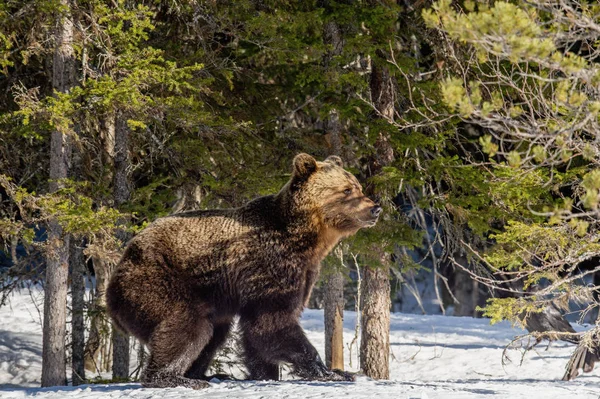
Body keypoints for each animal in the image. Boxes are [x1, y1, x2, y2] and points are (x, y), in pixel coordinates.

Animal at [105, 155, 382, 390]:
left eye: (357, 186)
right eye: (346, 190)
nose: (375, 208)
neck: (307, 240)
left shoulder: (303, 273)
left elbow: (258, 333)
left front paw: (264, 373)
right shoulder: (270, 267)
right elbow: (272, 322)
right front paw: (334, 372)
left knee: (213, 335)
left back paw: (207, 374)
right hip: (159, 281)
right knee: (188, 326)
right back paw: (176, 378)